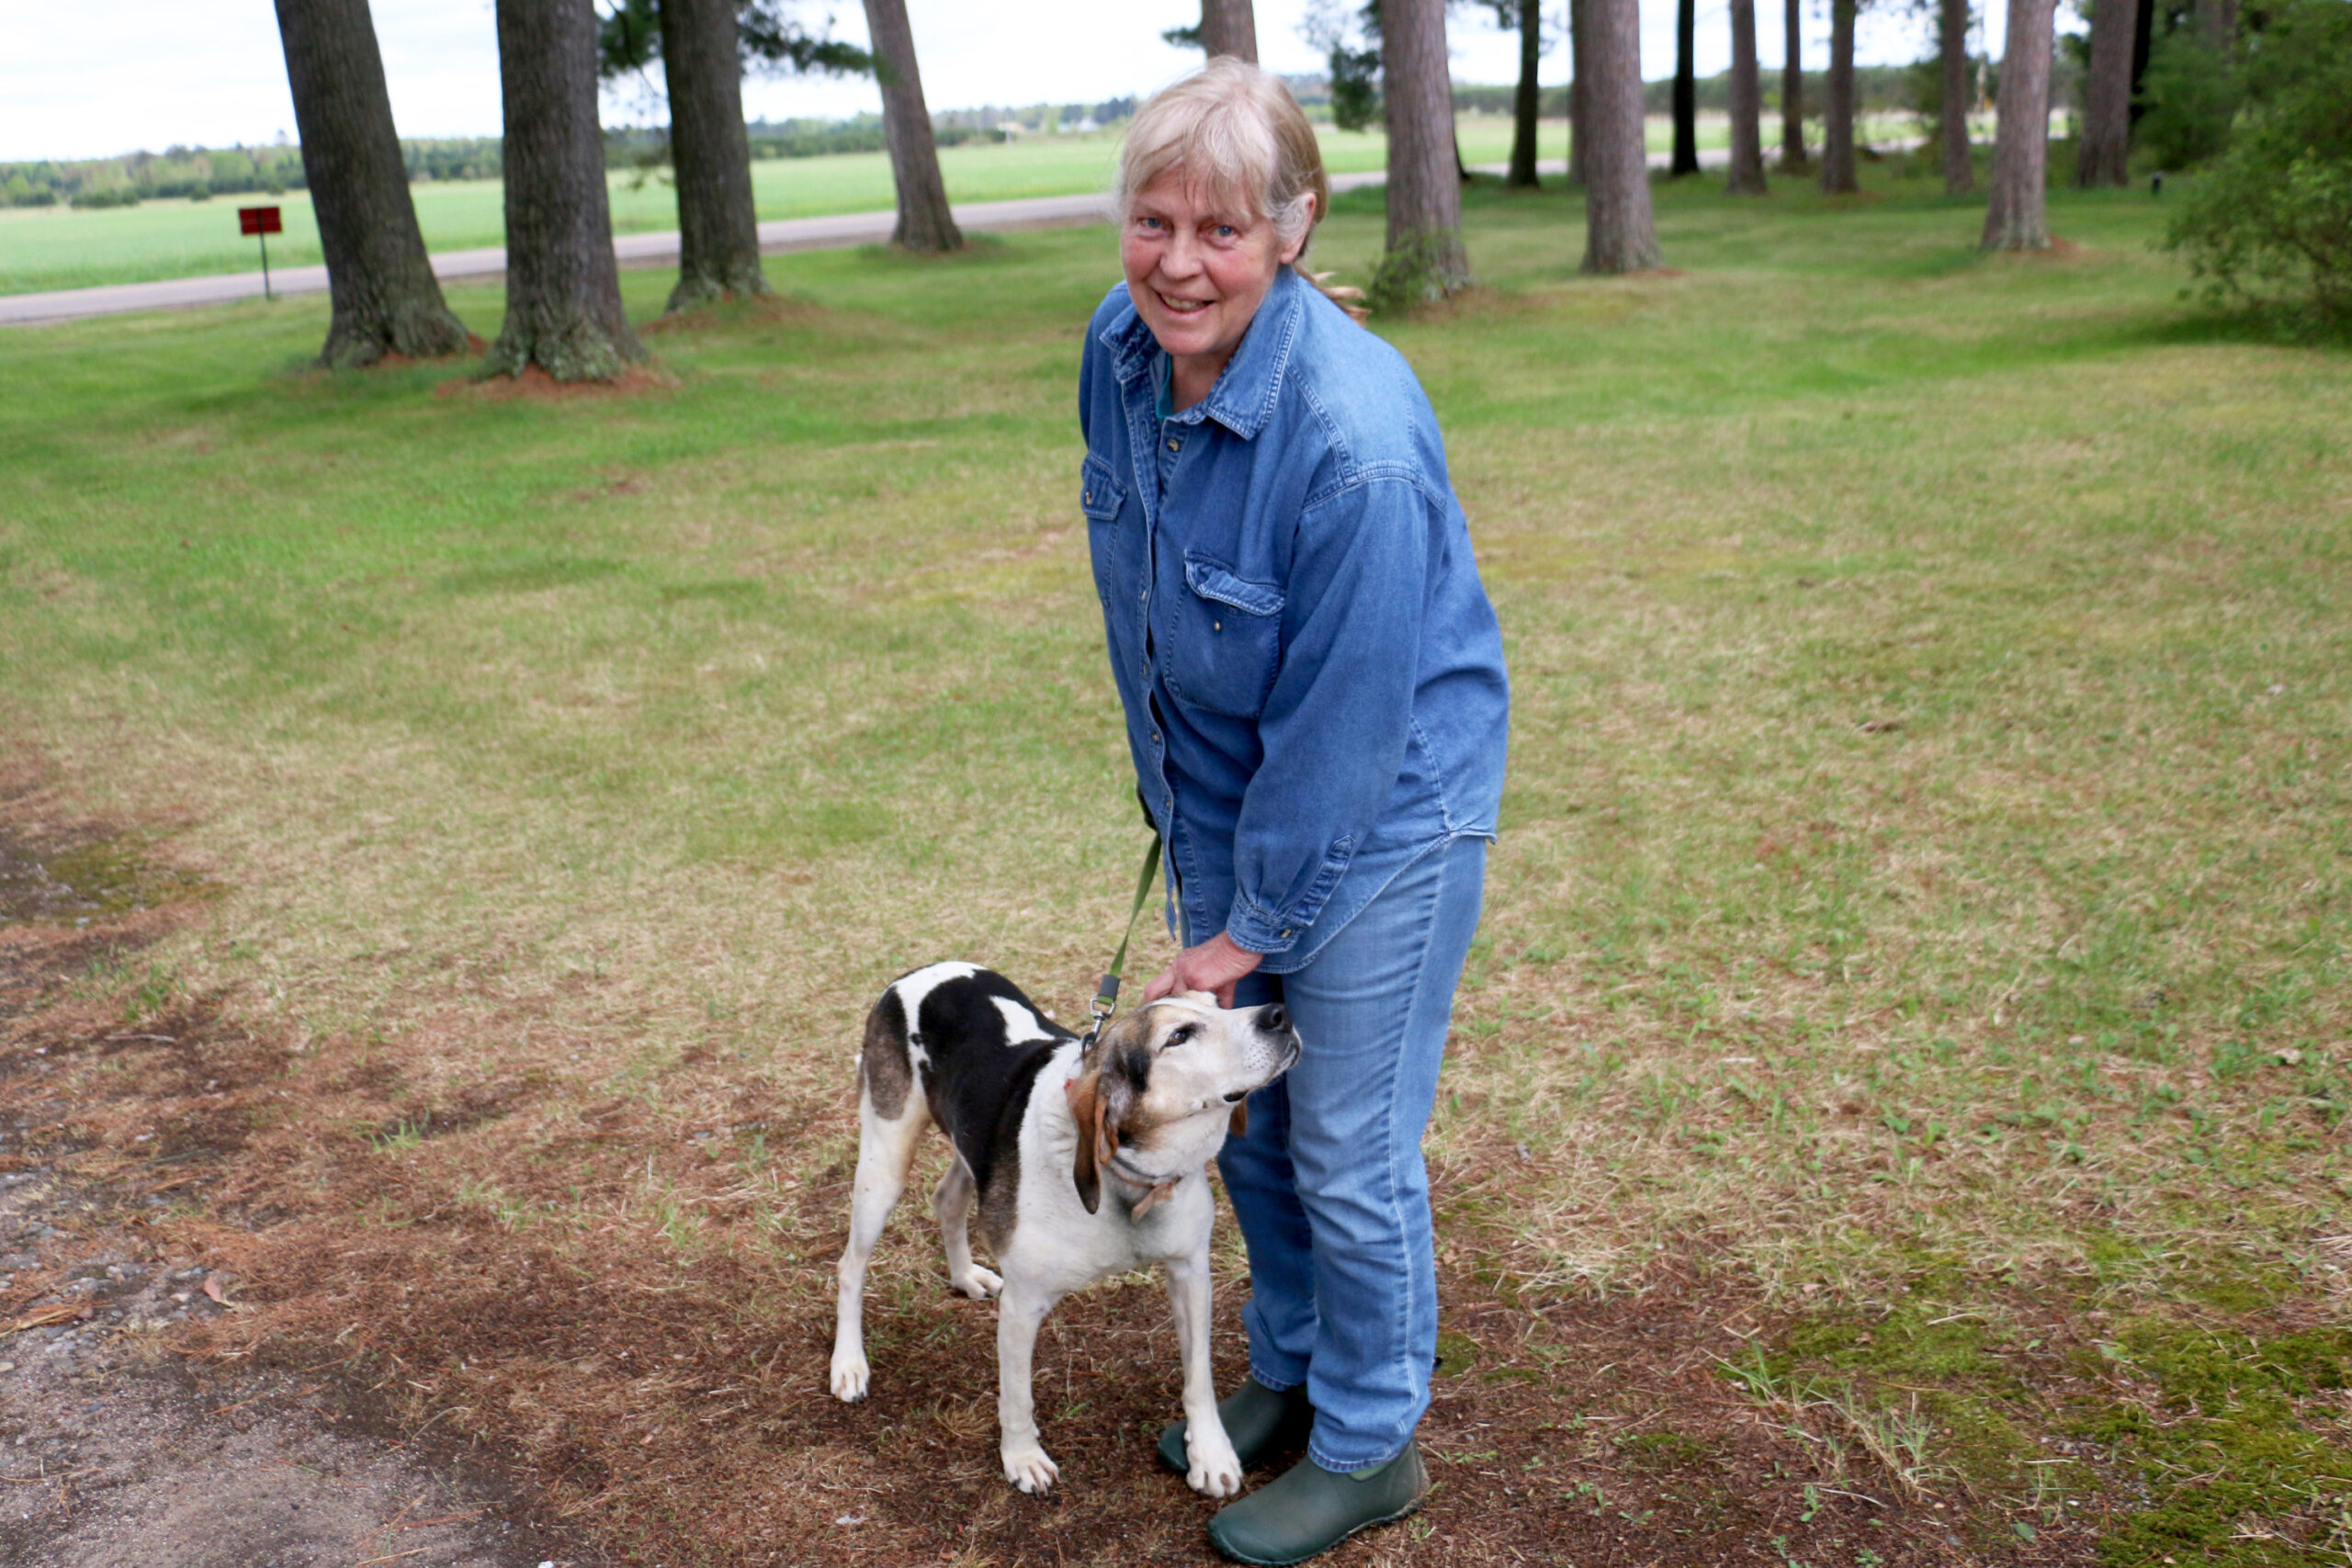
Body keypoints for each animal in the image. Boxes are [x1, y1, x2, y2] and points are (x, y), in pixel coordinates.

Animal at [832, 968, 1307, 1495]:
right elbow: (1017, 1397)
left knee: (947, 1198)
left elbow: (1198, 1377)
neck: (1127, 1181)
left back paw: (965, 1276)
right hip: (884, 1162)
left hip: (969, 1145)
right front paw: (1022, 1458)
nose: (1279, 1014)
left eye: (1217, 1004)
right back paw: (849, 1365)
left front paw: (1210, 1452)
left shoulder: (1190, 1274)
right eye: (1178, 1037)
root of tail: (912, 975)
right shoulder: (1022, 1306)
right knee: (850, 1266)